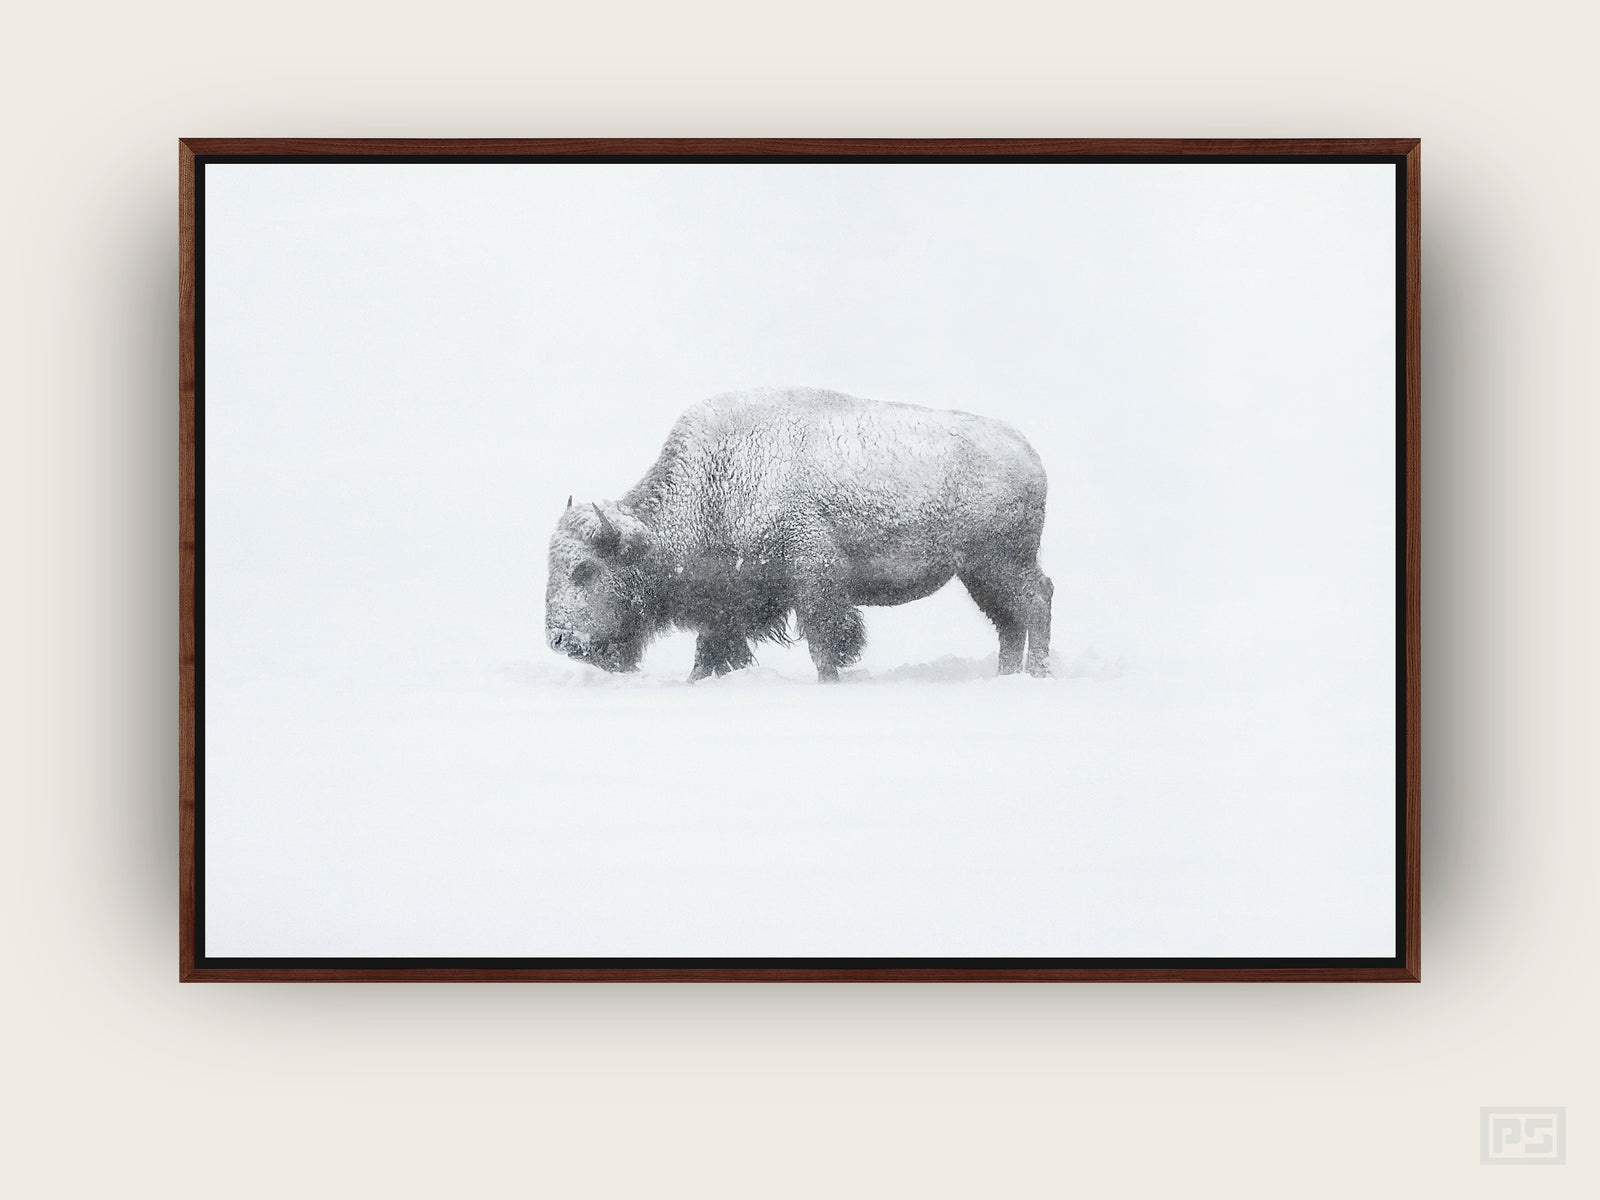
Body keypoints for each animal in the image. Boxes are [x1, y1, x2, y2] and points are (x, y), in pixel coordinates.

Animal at [545, 388, 1053, 682]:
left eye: (584, 568)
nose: (558, 640)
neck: (716, 481)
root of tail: (1027, 451)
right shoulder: (729, 601)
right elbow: (712, 648)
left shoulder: (813, 576)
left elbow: (826, 641)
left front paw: (830, 681)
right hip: (978, 573)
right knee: (1010, 620)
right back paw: (1006, 677)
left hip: (1001, 562)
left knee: (1035, 602)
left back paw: (1036, 675)